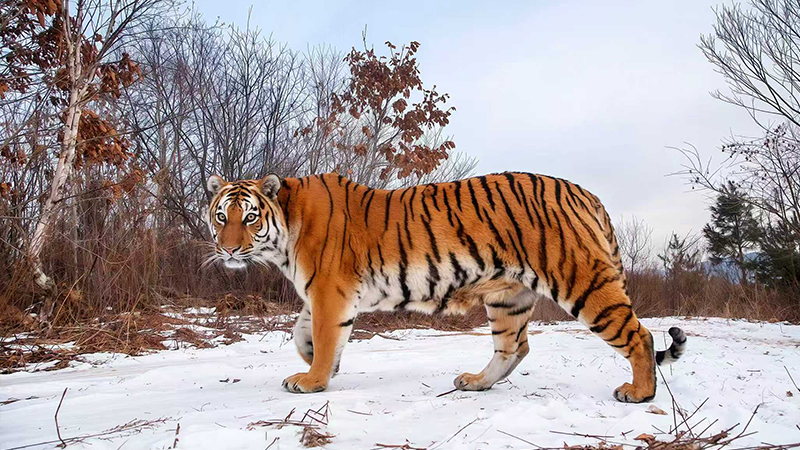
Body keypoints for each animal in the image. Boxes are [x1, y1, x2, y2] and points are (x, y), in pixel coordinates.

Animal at [204, 172, 686, 402]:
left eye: (250, 218)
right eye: (221, 216)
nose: (227, 248)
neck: (285, 232)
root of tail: (586, 194)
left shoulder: (329, 290)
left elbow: (322, 336)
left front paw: (312, 379)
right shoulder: (324, 293)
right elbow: (303, 332)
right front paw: (316, 364)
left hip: (582, 281)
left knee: (639, 334)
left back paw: (639, 393)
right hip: (509, 297)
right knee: (514, 347)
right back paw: (475, 383)